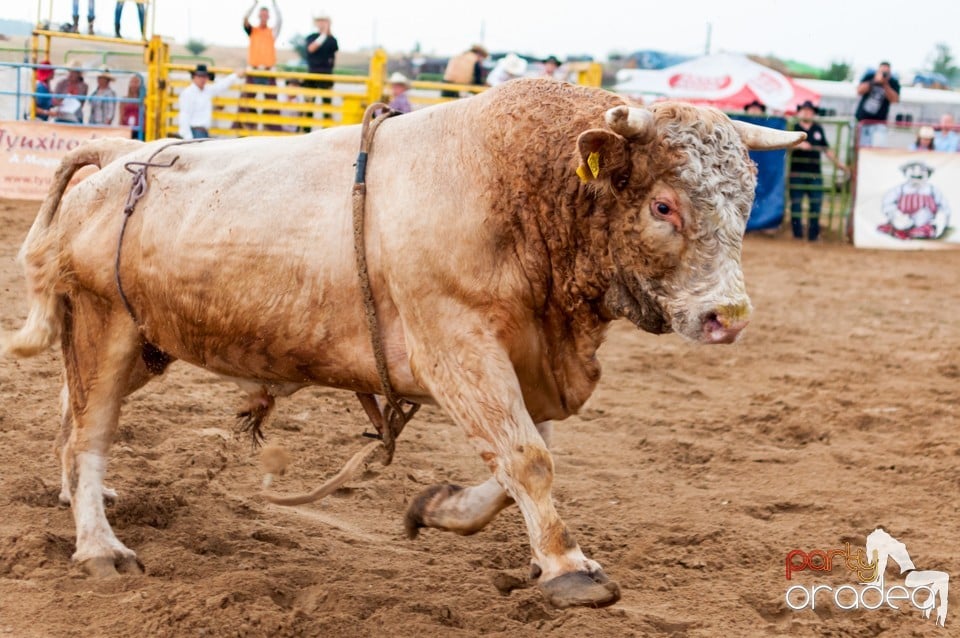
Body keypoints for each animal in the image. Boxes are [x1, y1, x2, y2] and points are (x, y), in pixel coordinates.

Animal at [1, 80, 804, 608]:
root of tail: (117, 155)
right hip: (105, 326)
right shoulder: (458, 345)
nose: (727, 315)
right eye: (664, 205)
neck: (517, 191)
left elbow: (514, 461)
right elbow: (527, 456)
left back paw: (79, 495)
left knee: (70, 410)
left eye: (744, 201)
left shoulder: (523, 357)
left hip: (141, 341)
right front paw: (568, 567)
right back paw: (99, 544)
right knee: (89, 428)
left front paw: (443, 508)